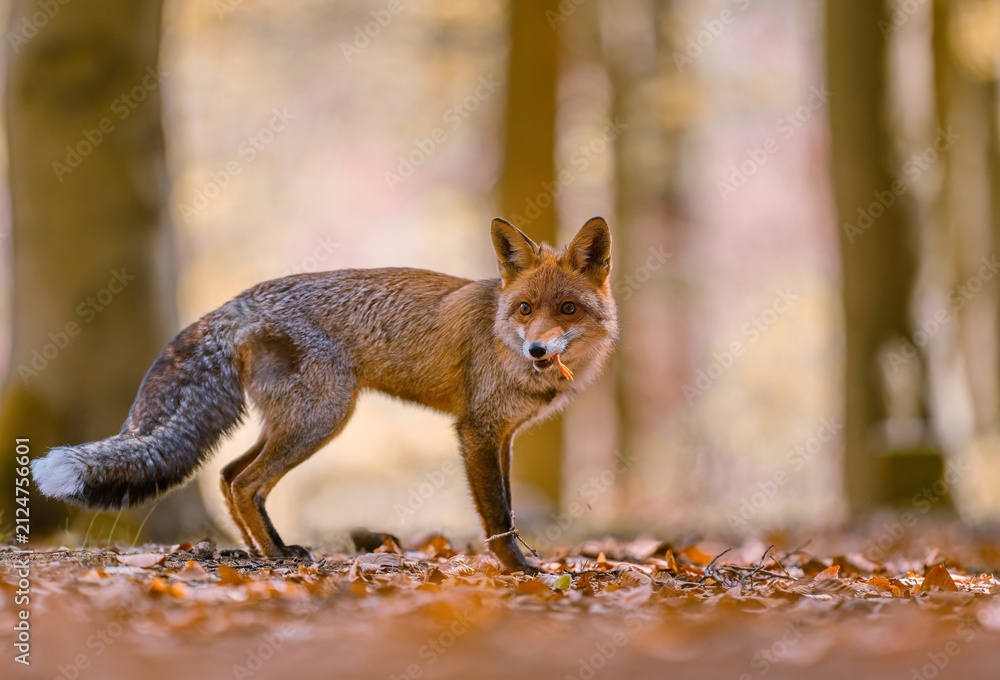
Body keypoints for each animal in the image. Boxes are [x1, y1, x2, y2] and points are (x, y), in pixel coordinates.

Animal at [31, 217, 617, 572]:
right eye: (525, 309)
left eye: (567, 309)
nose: (538, 349)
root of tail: (240, 301)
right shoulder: (476, 430)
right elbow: (497, 514)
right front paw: (519, 571)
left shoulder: (503, 436)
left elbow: (511, 506)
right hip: (323, 418)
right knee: (244, 481)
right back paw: (275, 556)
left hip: (296, 421)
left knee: (228, 475)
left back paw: (262, 549)